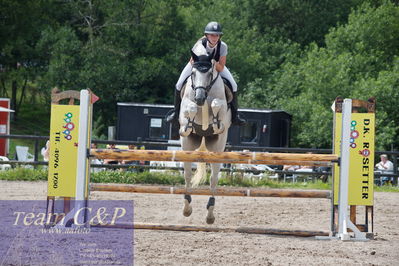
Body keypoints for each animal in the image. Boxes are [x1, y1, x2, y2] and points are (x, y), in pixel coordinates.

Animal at [180, 42, 233, 223]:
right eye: (193, 73)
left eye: (210, 73)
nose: (200, 98)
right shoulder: (186, 104)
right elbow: (190, 108)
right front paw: (188, 122)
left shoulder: (221, 105)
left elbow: (217, 104)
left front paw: (216, 121)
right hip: (188, 146)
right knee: (188, 176)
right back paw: (187, 208)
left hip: (217, 148)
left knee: (213, 179)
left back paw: (210, 214)